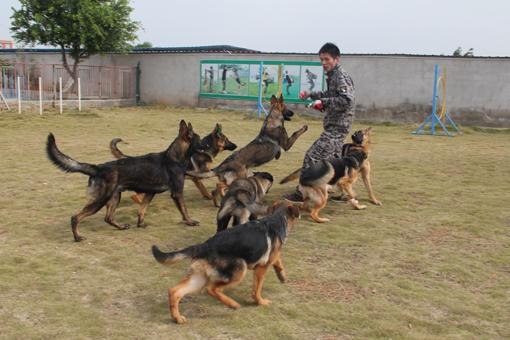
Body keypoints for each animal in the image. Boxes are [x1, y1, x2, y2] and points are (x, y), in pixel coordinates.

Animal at [45, 119, 201, 242]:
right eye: (199, 140)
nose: (206, 144)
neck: (175, 158)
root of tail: (98, 168)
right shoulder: (177, 193)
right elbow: (184, 210)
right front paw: (190, 222)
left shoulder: (150, 193)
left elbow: (142, 210)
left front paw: (140, 224)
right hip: (101, 200)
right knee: (75, 217)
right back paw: (77, 237)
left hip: (115, 197)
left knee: (108, 218)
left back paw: (120, 227)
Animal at [153, 202, 300, 324]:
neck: (278, 218)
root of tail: (205, 245)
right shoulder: (261, 268)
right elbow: (257, 289)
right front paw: (261, 302)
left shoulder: (271, 257)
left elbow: (278, 260)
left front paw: (282, 275)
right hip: (240, 269)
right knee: (212, 289)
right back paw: (232, 304)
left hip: (198, 279)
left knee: (175, 291)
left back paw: (177, 318)